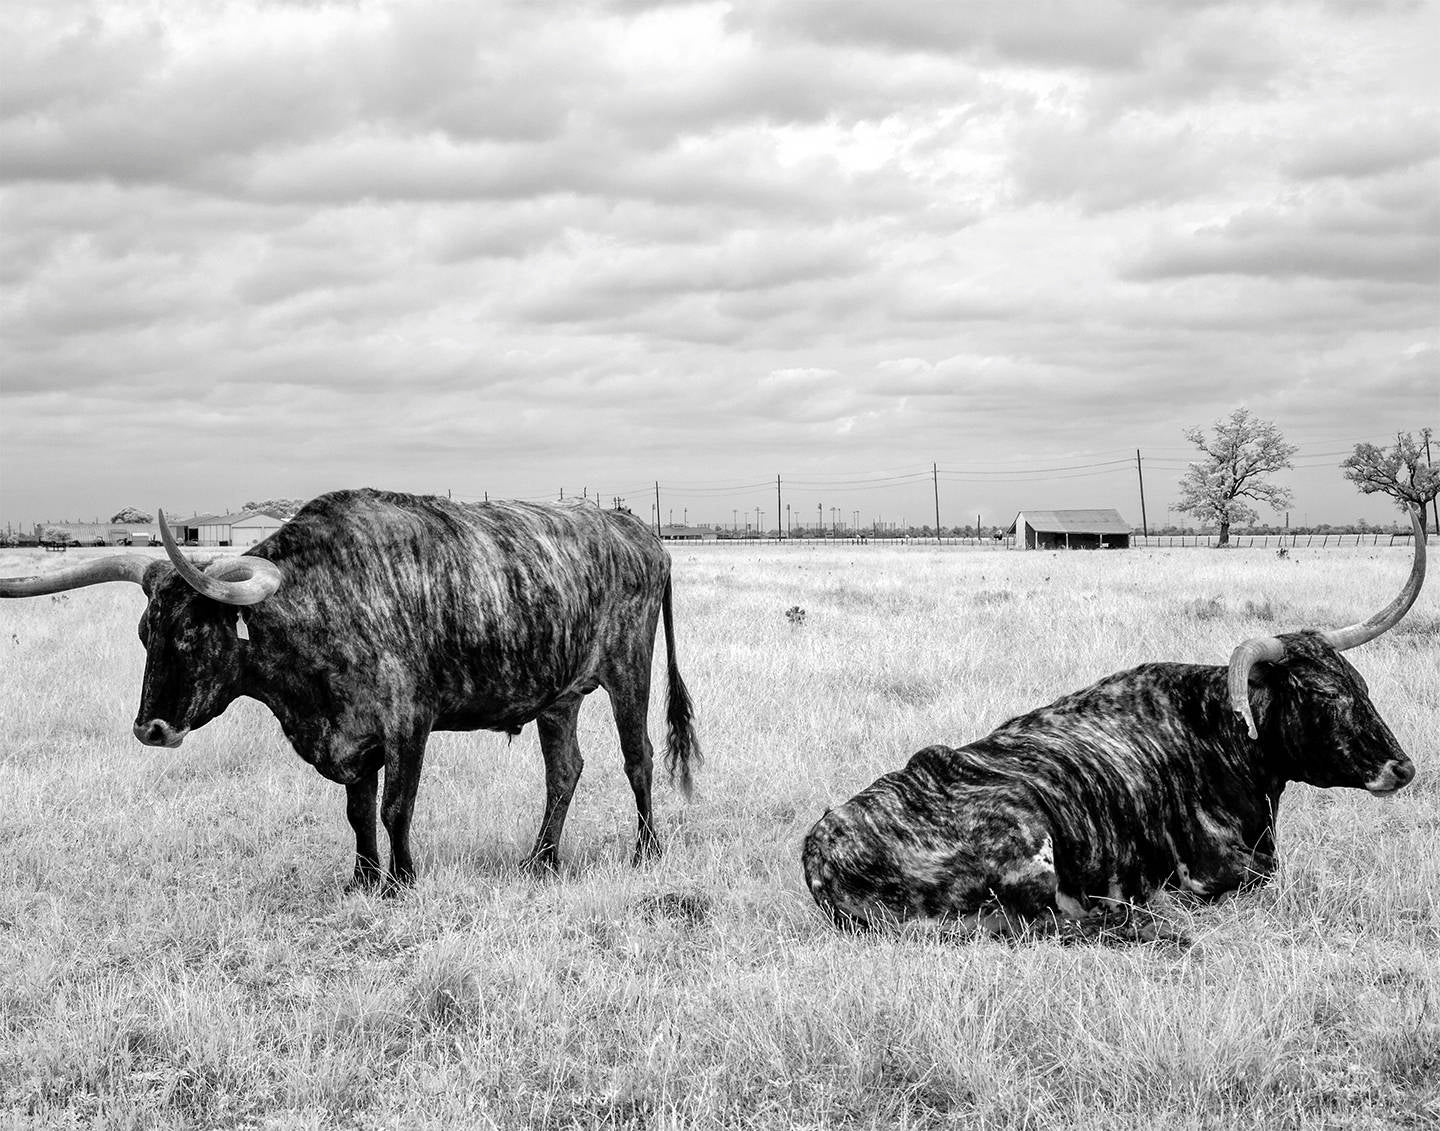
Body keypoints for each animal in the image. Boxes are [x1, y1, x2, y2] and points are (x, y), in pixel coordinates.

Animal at [0, 489, 700, 891]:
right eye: (147, 632)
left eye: (196, 633)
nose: (152, 728)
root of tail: (641, 535)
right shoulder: (353, 737)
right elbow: (358, 812)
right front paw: (363, 880)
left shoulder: (408, 723)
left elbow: (395, 808)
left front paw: (402, 882)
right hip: (559, 697)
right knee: (565, 770)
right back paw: (542, 863)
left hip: (628, 671)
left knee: (637, 759)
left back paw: (646, 852)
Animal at [802, 506, 1427, 936]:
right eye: (1322, 693)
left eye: (1359, 683)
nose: (1403, 768)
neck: (1216, 736)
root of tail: (818, 850)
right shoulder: (1225, 871)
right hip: (1027, 838)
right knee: (1065, 925)